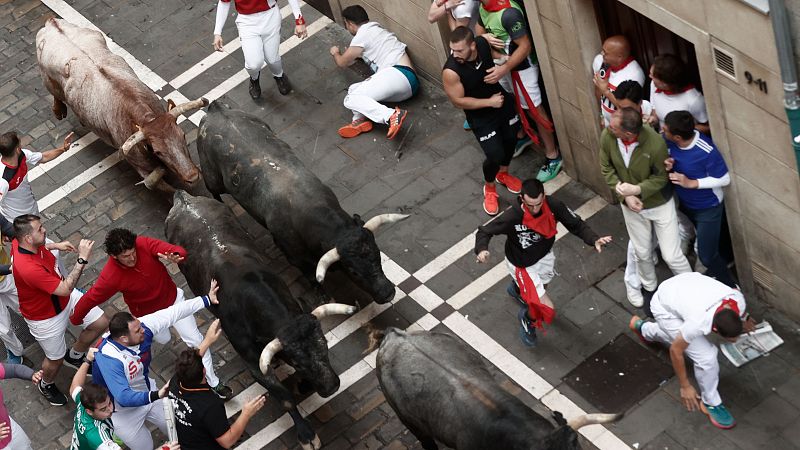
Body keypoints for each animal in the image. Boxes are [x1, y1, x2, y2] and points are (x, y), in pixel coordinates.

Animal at [37, 18, 206, 188]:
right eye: (158, 151)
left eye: (182, 135)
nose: (192, 177)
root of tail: (51, 23)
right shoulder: (143, 168)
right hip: (47, 80)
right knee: (55, 95)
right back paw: (58, 110)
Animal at [166, 191, 356, 450]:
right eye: (297, 362)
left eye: (324, 346)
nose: (331, 386)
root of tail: (182, 199)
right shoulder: (253, 362)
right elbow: (285, 399)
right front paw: (306, 434)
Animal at [195, 101, 406, 304]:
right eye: (353, 271)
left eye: (377, 254)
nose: (387, 293)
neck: (310, 206)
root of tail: (216, 109)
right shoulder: (294, 255)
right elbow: (311, 276)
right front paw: (322, 295)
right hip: (212, 176)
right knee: (213, 191)